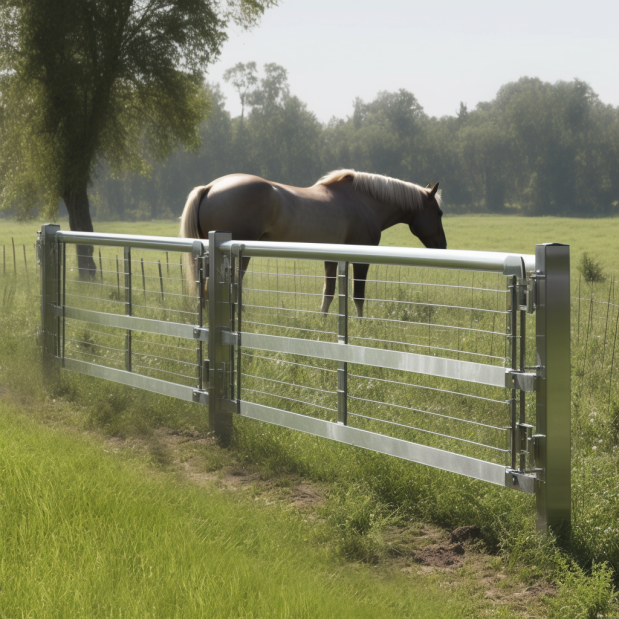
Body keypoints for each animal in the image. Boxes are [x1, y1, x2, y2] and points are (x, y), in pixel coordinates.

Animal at [179, 170, 446, 318]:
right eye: (439, 212)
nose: (442, 246)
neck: (363, 201)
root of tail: (211, 187)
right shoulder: (361, 259)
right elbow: (358, 296)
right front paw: (361, 326)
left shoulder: (331, 258)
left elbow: (328, 293)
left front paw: (323, 321)